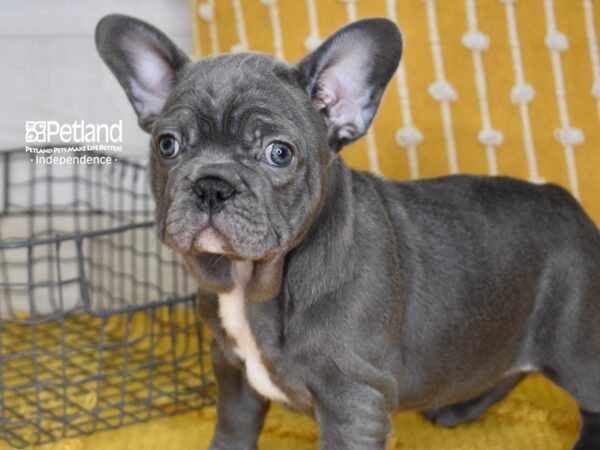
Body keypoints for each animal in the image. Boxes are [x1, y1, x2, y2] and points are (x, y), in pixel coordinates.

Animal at [95, 14, 600, 450]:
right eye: (167, 145)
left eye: (279, 153)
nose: (212, 185)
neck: (254, 280)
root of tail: (568, 202)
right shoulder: (232, 371)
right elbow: (233, 428)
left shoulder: (353, 401)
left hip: (577, 343)